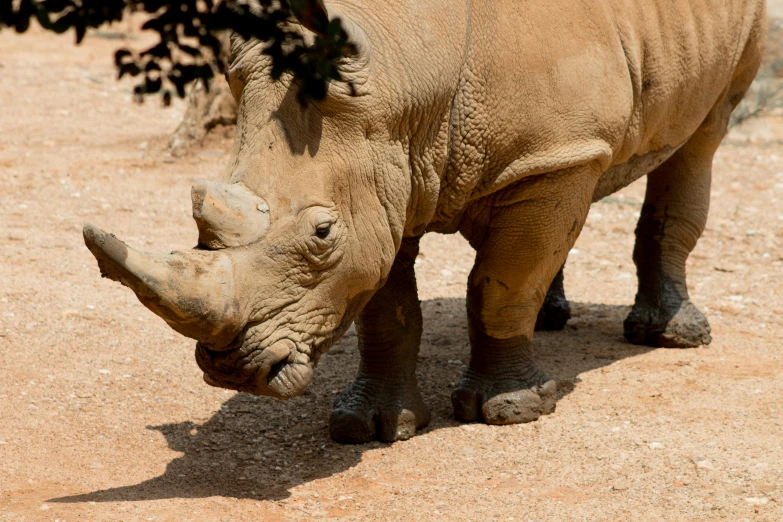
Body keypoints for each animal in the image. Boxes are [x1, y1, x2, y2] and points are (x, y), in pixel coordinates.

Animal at [82, 0, 768, 440]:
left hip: (742, 35)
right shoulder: (386, 168)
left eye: (321, 235)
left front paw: (512, 410)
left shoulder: (551, 150)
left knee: (703, 135)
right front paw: (374, 428)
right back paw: (553, 318)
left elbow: (500, 285)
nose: (233, 372)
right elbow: (385, 306)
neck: (404, 72)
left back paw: (671, 337)